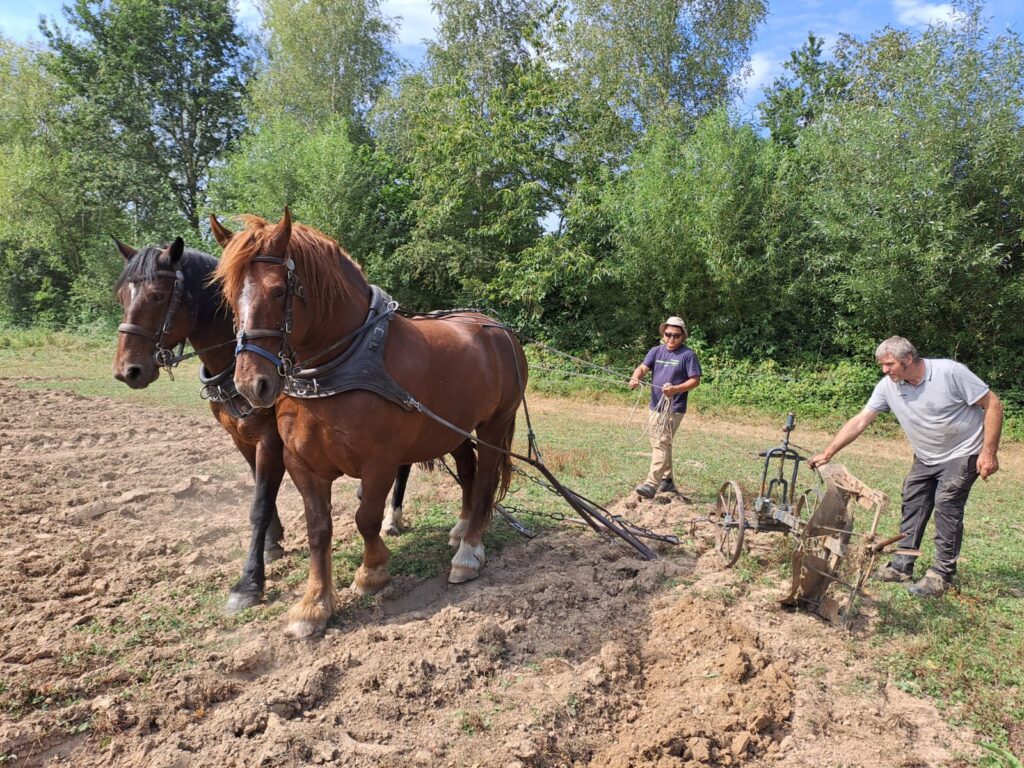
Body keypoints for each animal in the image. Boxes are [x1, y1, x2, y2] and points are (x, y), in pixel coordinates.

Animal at [209, 208, 528, 638]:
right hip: (456, 427)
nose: (250, 385)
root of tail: (499, 329)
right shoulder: (302, 465)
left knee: (485, 482)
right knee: (468, 470)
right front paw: (314, 605)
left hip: (495, 424)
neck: (345, 362)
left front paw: (372, 572)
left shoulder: (380, 463)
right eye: (228, 297)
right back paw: (461, 530)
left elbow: (366, 518)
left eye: (277, 291)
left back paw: (468, 553)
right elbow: (318, 529)